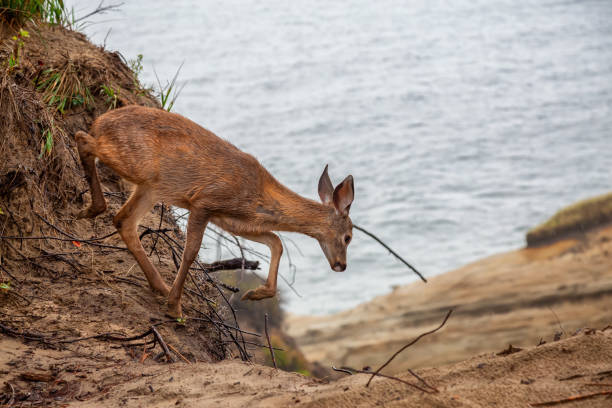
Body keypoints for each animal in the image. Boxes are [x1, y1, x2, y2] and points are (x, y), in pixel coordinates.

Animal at [76, 103, 354, 318]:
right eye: (348, 237)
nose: (341, 265)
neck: (258, 195)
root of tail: (101, 120)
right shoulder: (205, 201)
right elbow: (190, 253)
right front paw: (174, 308)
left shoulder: (234, 221)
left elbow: (276, 242)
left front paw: (255, 293)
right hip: (137, 163)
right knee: (83, 138)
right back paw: (91, 208)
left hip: (150, 187)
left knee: (123, 220)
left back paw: (159, 285)